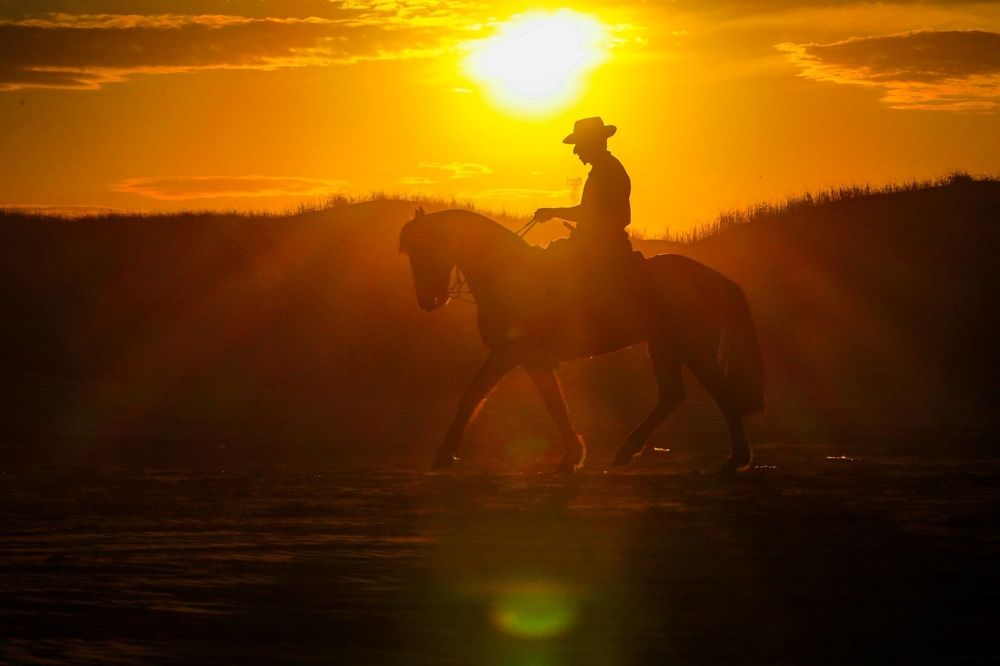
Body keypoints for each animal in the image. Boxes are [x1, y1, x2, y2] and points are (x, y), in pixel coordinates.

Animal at [399, 207, 765, 473]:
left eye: (425, 248)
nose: (429, 301)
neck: (509, 273)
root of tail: (716, 278)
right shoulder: (522, 357)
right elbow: (522, 399)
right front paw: (573, 454)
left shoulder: (515, 354)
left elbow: (497, 398)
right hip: (664, 346)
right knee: (672, 395)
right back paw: (628, 450)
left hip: (693, 347)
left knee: (720, 392)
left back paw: (737, 459)